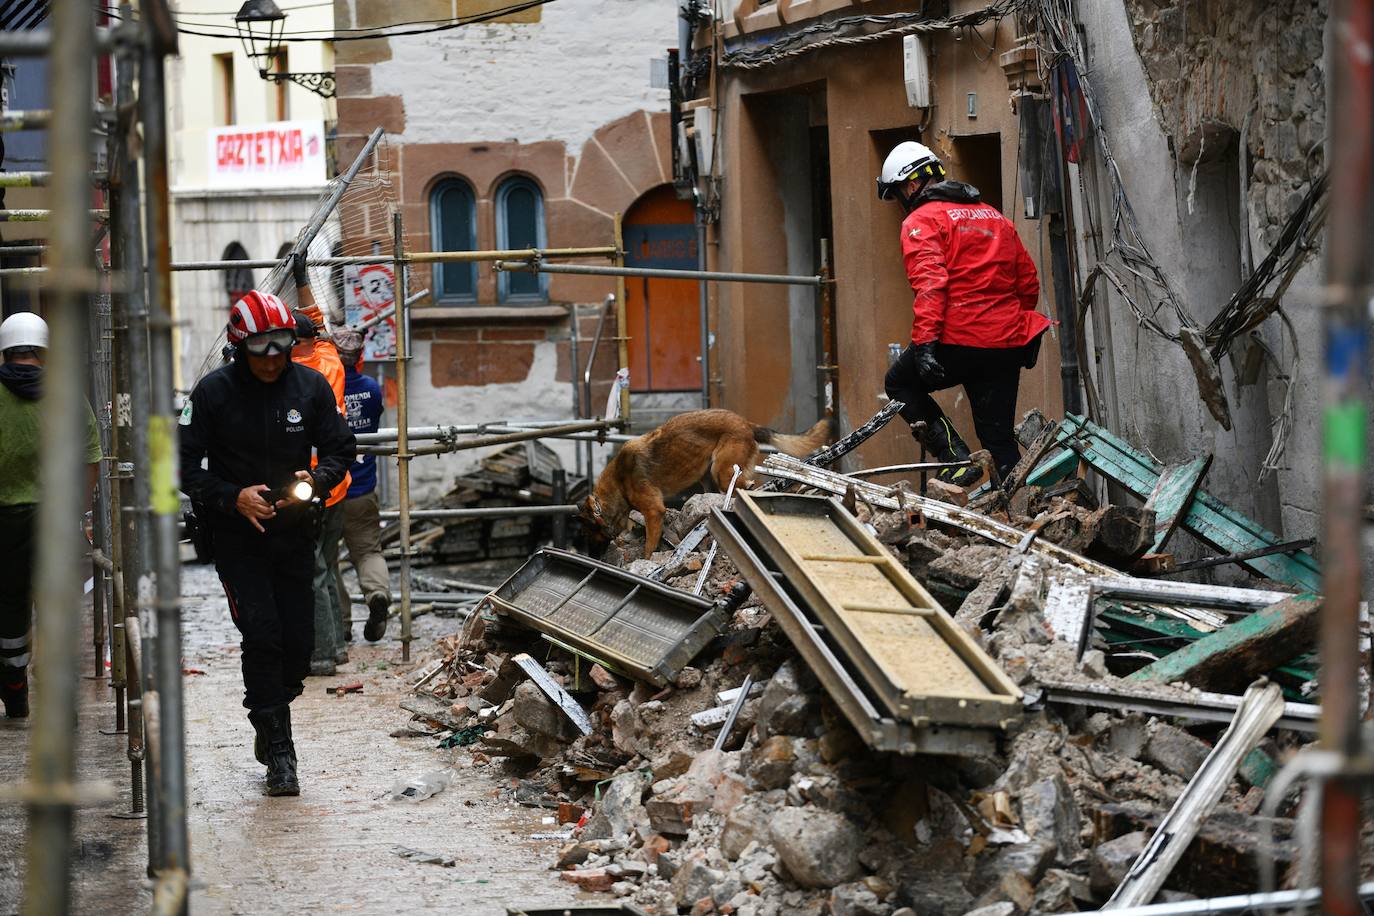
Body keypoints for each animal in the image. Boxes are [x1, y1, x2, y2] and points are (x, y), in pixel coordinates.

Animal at [577, 409, 829, 560]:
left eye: (588, 532)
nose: (593, 557)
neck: (618, 483)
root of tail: (746, 424)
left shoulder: (653, 511)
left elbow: (649, 545)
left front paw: (647, 560)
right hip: (708, 478)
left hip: (722, 472)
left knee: (746, 486)